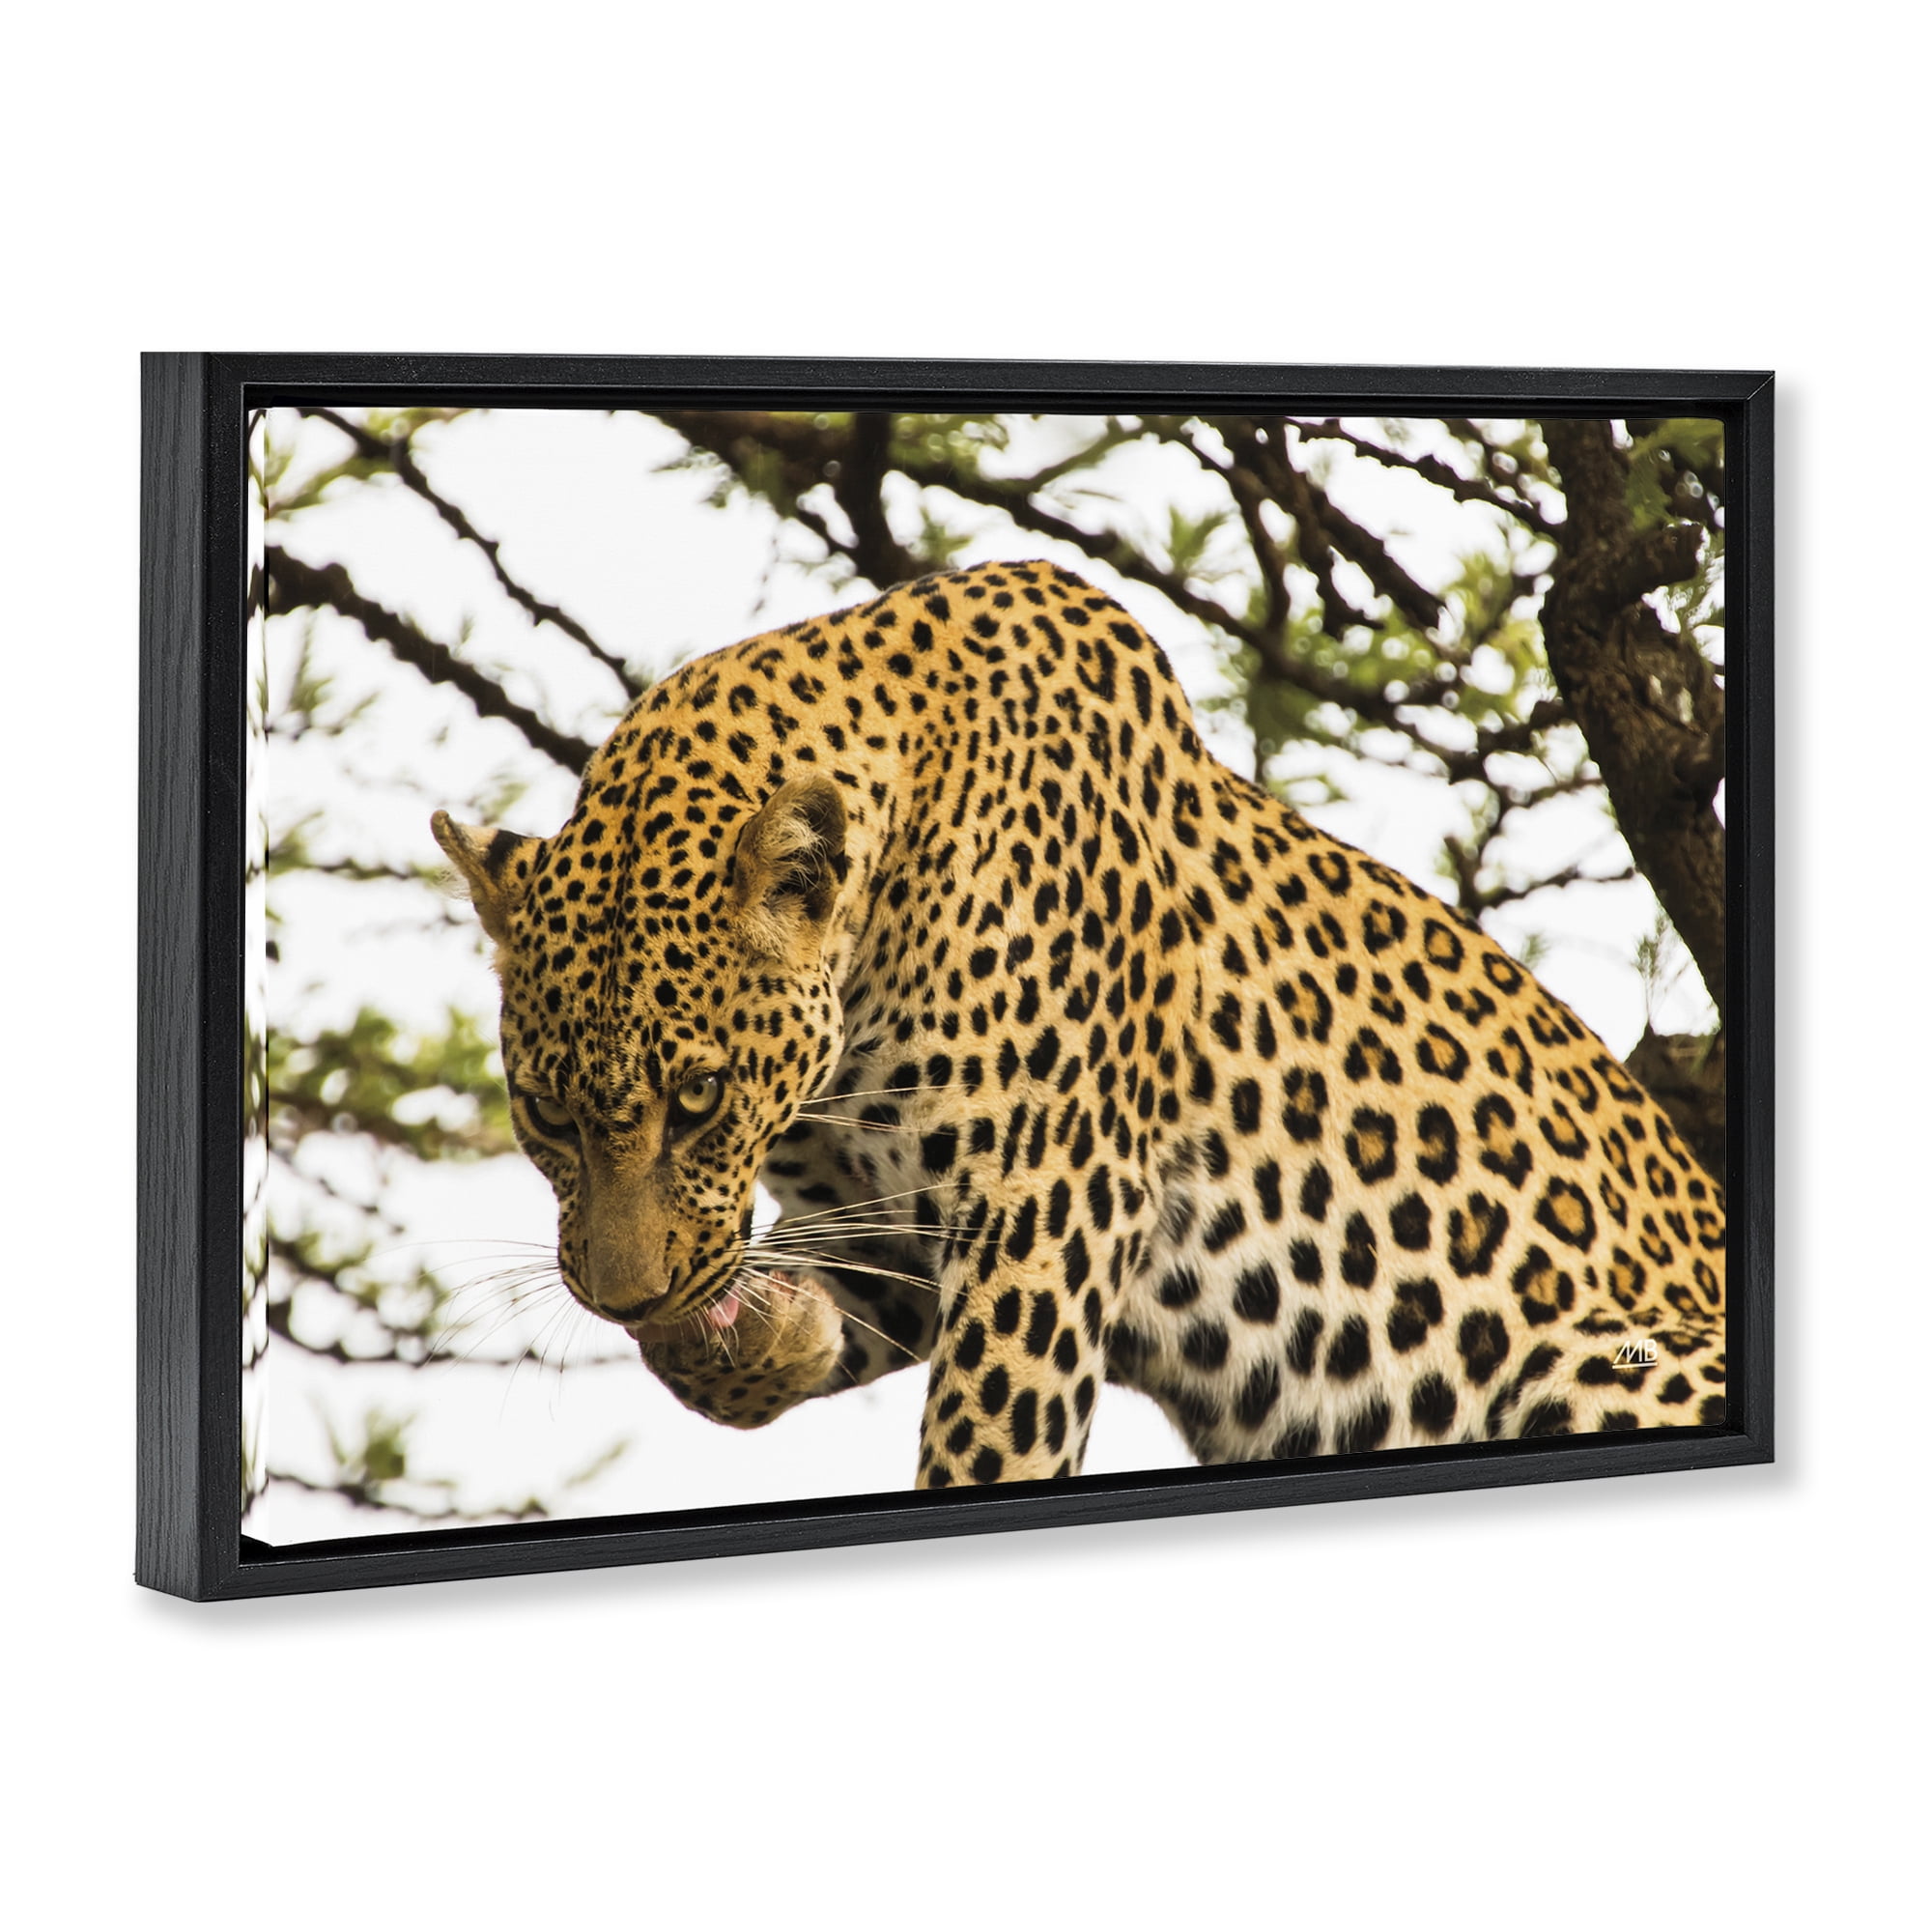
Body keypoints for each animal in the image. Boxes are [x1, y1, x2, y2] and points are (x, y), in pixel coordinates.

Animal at [434, 559, 1725, 1488]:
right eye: (543, 1112)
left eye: (697, 1098)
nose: (621, 1297)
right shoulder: (888, 1227)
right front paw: (763, 1331)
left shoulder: (1041, 1214)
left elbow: (986, 1445)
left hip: (1598, 1357)